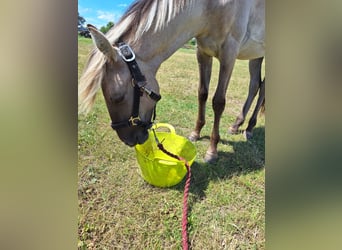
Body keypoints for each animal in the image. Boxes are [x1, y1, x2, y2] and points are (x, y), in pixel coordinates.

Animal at [79, 0, 266, 162]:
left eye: (117, 97)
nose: (128, 140)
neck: (212, 7)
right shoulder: (203, 53)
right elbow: (202, 94)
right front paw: (196, 133)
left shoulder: (229, 54)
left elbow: (218, 102)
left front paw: (212, 151)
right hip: (256, 56)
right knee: (255, 86)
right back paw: (236, 125)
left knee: (262, 89)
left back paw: (249, 128)